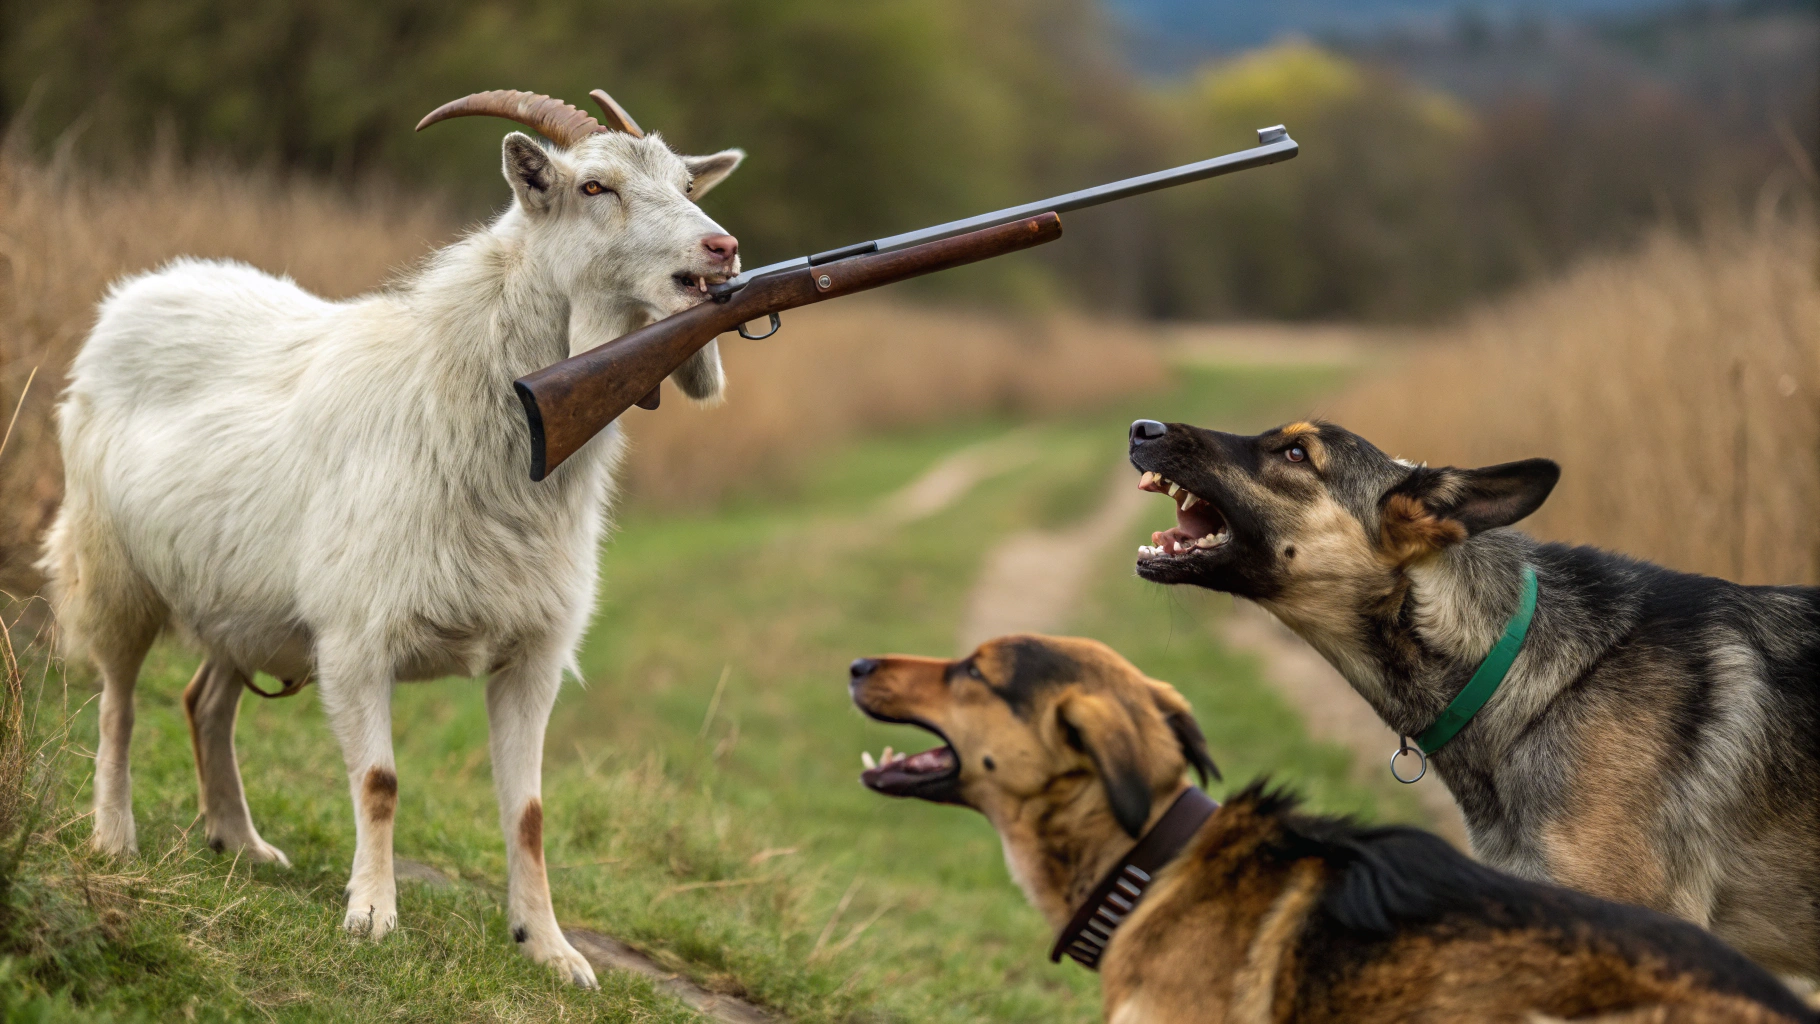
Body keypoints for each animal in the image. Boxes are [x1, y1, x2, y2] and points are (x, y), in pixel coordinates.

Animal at [39, 89, 744, 987]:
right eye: (594, 187)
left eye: (688, 182)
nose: (722, 249)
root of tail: (137, 291)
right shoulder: (356, 640)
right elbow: (378, 782)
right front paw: (372, 916)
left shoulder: (532, 657)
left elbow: (528, 812)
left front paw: (551, 949)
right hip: (113, 570)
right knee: (119, 703)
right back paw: (114, 836)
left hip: (243, 604)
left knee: (206, 702)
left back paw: (239, 840)